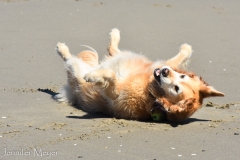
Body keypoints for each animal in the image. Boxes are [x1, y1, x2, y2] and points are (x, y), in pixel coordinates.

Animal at [53, 28, 224, 121]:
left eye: (176, 89)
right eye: (182, 78)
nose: (165, 71)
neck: (150, 87)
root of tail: (72, 94)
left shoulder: (115, 94)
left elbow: (111, 77)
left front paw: (94, 76)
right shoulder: (161, 64)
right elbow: (182, 54)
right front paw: (185, 48)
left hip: (76, 70)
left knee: (69, 59)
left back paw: (62, 49)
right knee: (113, 50)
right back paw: (114, 34)